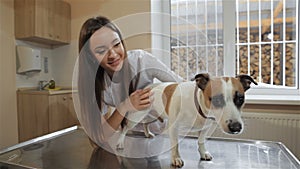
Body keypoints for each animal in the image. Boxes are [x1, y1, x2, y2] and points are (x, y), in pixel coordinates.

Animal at [116, 73, 256, 167]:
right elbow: (175, 144)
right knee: (125, 127)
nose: (236, 127)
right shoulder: (174, 127)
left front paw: (203, 153)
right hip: (136, 117)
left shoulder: (205, 127)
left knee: (145, 124)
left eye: (240, 99)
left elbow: (201, 141)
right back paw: (120, 142)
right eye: (216, 100)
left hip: (152, 116)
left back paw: (147, 133)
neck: (198, 106)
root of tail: (148, 87)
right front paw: (176, 158)